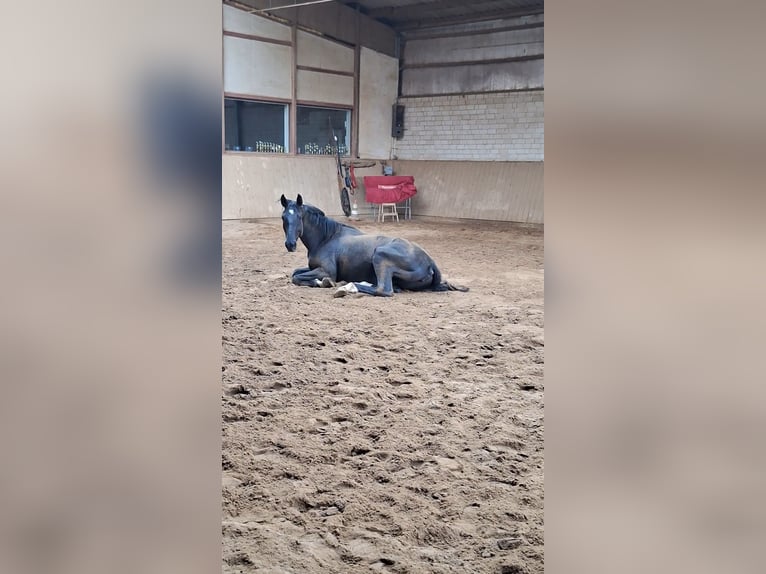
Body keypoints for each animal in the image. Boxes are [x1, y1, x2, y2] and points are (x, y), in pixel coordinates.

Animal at [280, 194, 468, 297]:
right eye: (283, 217)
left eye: (299, 217)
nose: (290, 244)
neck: (326, 238)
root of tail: (430, 262)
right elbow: (295, 273)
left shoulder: (327, 271)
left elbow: (297, 278)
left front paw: (323, 282)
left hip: (380, 255)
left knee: (383, 290)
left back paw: (349, 286)